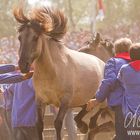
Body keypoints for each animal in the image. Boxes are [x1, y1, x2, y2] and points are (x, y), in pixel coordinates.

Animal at [13, 6, 106, 140]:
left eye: (35, 37)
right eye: (20, 38)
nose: (22, 65)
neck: (52, 72)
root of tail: (103, 63)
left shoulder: (65, 101)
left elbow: (57, 123)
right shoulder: (40, 100)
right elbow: (39, 124)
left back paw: (89, 124)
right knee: (86, 109)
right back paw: (84, 125)